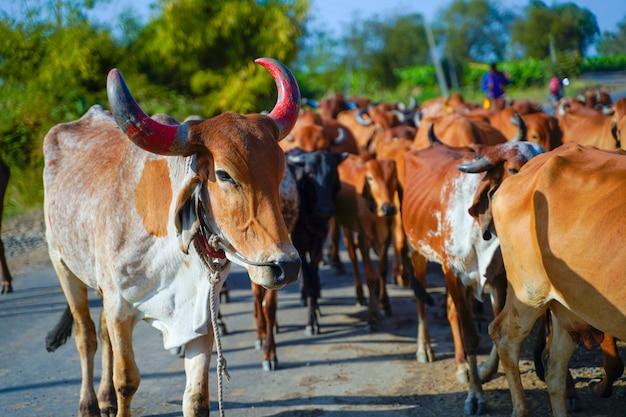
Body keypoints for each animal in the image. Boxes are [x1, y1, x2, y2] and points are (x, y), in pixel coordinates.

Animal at [42, 57, 302, 416]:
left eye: (280, 171)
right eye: (224, 175)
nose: (285, 266)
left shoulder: (200, 316)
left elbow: (196, 399)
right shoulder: (120, 308)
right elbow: (127, 380)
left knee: (102, 333)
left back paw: (104, 399)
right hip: (63, 264)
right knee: (86, 335)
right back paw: (89, 403)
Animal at [400, 138, 544, 414]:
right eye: (513, 170)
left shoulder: (498, 278)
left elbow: (495, 331)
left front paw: (484, 371)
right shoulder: (453, 275)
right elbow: (471, 338)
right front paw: (475, 395)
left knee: (450, 310)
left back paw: (461, 366)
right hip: (417, 253)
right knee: (421, 301)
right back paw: (424, 348)